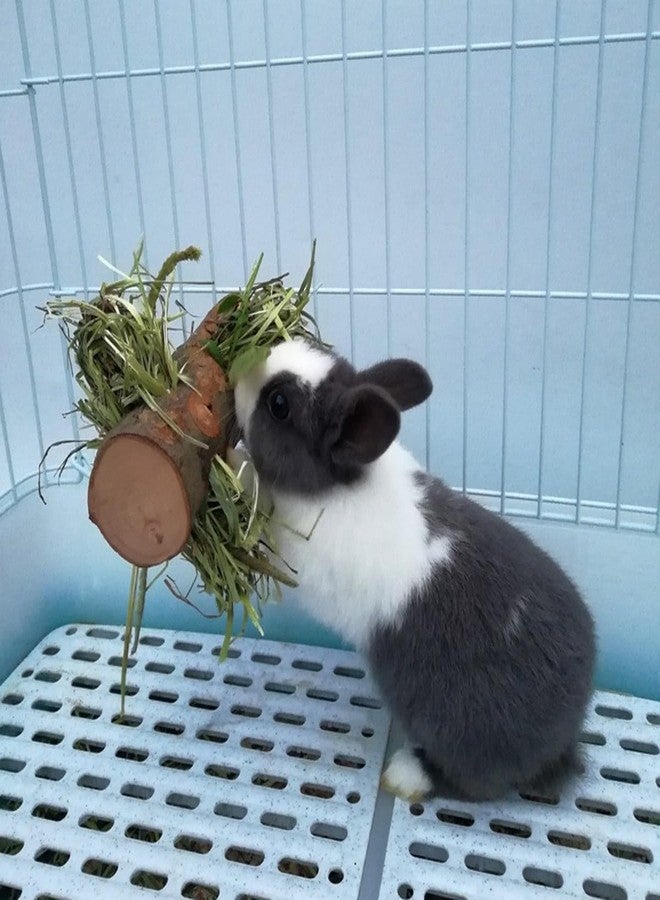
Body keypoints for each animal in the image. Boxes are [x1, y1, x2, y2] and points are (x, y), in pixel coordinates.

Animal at [233, 337, 596, 802]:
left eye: (279, 404)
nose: (237, 370)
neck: (342, 481)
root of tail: (561, 743)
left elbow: (250, 483)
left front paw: (230, 461)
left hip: (459, 734)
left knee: (470, 782)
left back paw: (405, 774)